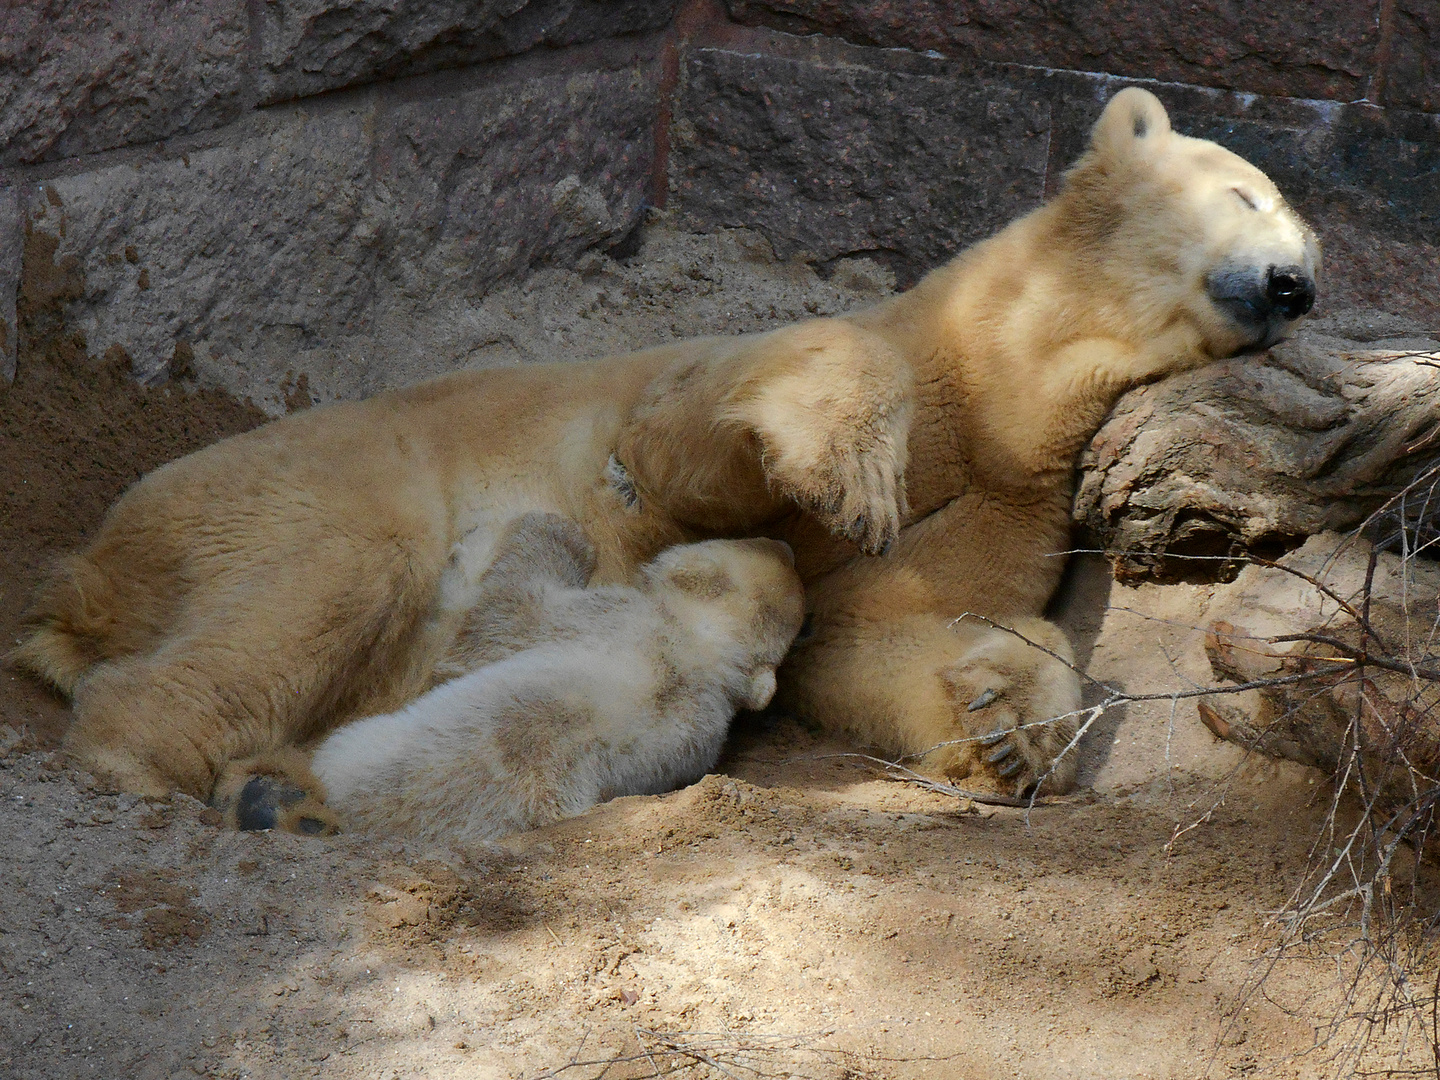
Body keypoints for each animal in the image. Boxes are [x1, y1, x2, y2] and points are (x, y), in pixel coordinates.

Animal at [14, 91, 1319, 806]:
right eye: (1247, 197)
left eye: (1309, 243)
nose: (1296, 283)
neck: (994, 377)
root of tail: (88, 576)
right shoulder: (734, 384)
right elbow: (696, 444)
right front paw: (846, 468)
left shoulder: (1011, 488)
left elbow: (870, 635)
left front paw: (1007, 721)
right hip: (280, 484)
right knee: (334, 571)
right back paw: (147, 749)